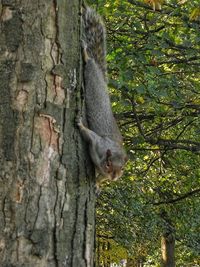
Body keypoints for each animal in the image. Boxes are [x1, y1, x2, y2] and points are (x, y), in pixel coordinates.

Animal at [77, 4, 127, 188]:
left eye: (122, 169)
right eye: (108, 163)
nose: (114, 177)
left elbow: (99, 179)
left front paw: (98, 185)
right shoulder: (98, 142)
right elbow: (89, 133)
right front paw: (80, 124)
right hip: (91, 74)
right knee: (89, 61)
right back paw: (85, 53)